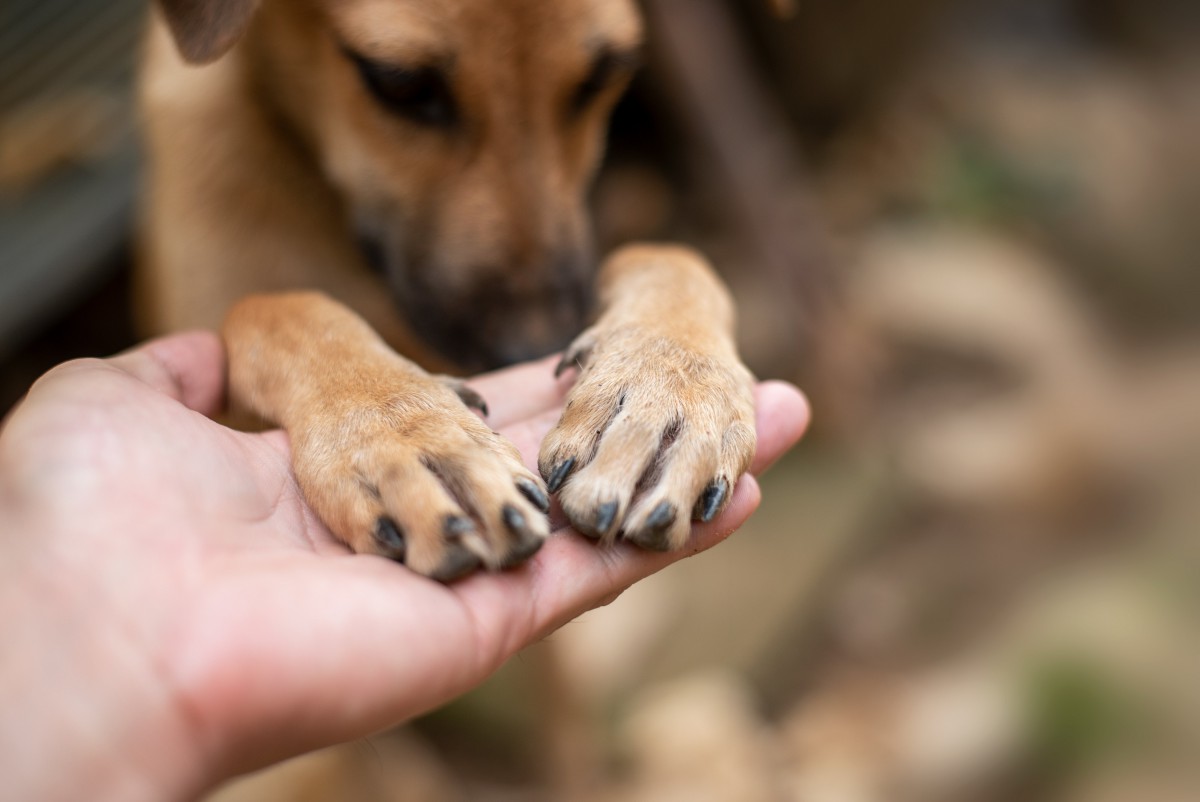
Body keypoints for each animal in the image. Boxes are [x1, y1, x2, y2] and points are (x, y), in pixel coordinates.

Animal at [140, 0, 753, 578]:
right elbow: (276, 306)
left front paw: (668, 384)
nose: (535, 350)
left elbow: (667, 254)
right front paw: (407, 434)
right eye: (400, 83)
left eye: (604, 76)